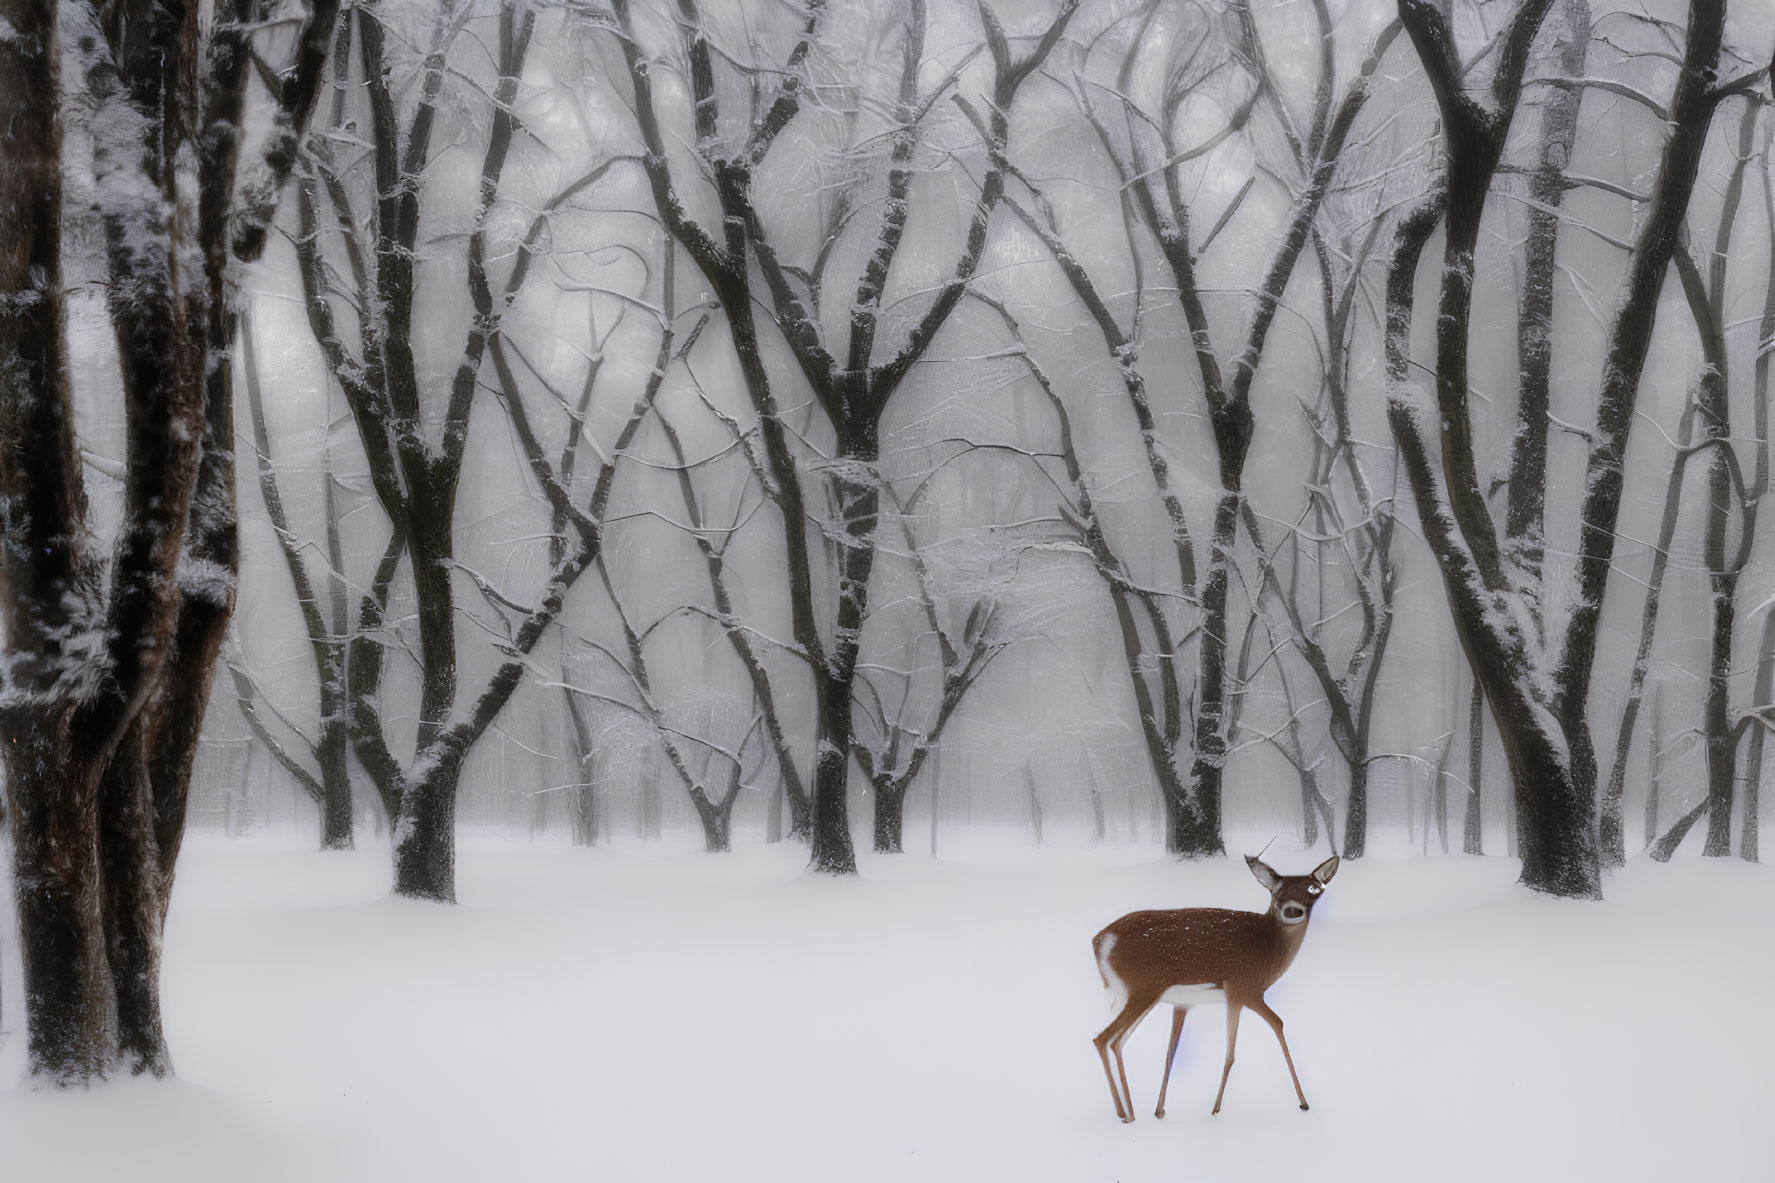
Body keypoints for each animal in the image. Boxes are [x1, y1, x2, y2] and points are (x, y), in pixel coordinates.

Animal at [1086, 852, 1334, 1122]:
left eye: (1313, 888)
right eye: (1276, 890)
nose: (1292, 910)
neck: (1268, 952)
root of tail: (1099, 941)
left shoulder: (1186, 1003)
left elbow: (1171, 1051)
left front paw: (1160, 1110)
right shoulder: (1243, 988)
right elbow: (1260, 1034)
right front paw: (1301, 1102)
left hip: (1134, 994)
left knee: (1116, 1040)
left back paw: (1128, 1111)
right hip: (1143, 989)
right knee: (1105, 1039)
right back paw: (1126, 1113)